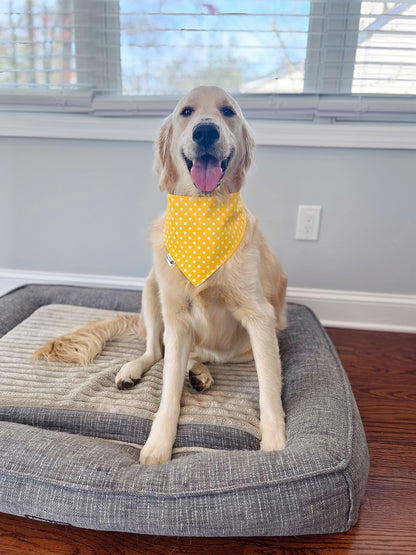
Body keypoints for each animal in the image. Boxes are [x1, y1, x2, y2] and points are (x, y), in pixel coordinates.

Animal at [34, 87, 288, 466]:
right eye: (186, 112)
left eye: (228, 111)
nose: (206, 131)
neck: (203, 211)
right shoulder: (177, 319)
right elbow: (168, 389)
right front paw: (158, 444)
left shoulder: (259, 318)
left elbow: (269, 387)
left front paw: (275, 445)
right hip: (152, 291)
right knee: (156, 352)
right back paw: (135, 369)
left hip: (249, 343)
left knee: (198, 356)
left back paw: (198, 371)